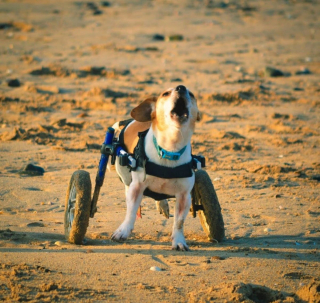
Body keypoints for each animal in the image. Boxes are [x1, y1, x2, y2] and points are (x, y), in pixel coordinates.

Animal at [111, 85, 199, 252]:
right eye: (165, 93)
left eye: (191, 94)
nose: (181, 87)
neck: (170, 149)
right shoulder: (137, 187)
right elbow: (130, 211)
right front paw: (123, 231)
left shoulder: (184, 196)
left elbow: (179, 222)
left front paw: (179, 241)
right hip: (124, 173)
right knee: (128, 188)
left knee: (160, 197)